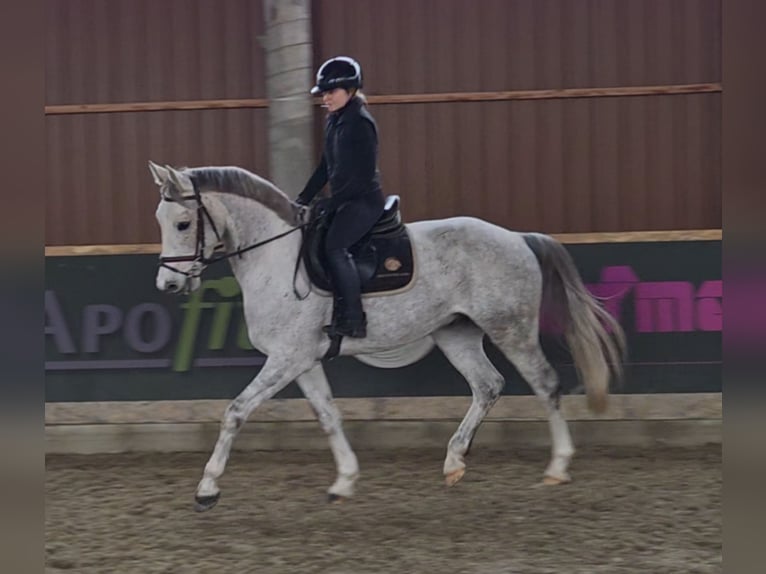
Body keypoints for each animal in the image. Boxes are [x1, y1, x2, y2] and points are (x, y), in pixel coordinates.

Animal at [148, 161, 626, 512]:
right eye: (161, 220)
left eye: (184, 223)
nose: (167, 285)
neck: (275, 257)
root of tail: (518, 238)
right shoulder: (302, 360)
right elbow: (328, 416)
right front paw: (344, 481)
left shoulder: (286, 358)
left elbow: (235, 412)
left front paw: (207, 489)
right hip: (456, 334)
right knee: (488, 386)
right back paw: (454, 462)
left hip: (511, 328)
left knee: (546, 384)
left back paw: (557, 467)